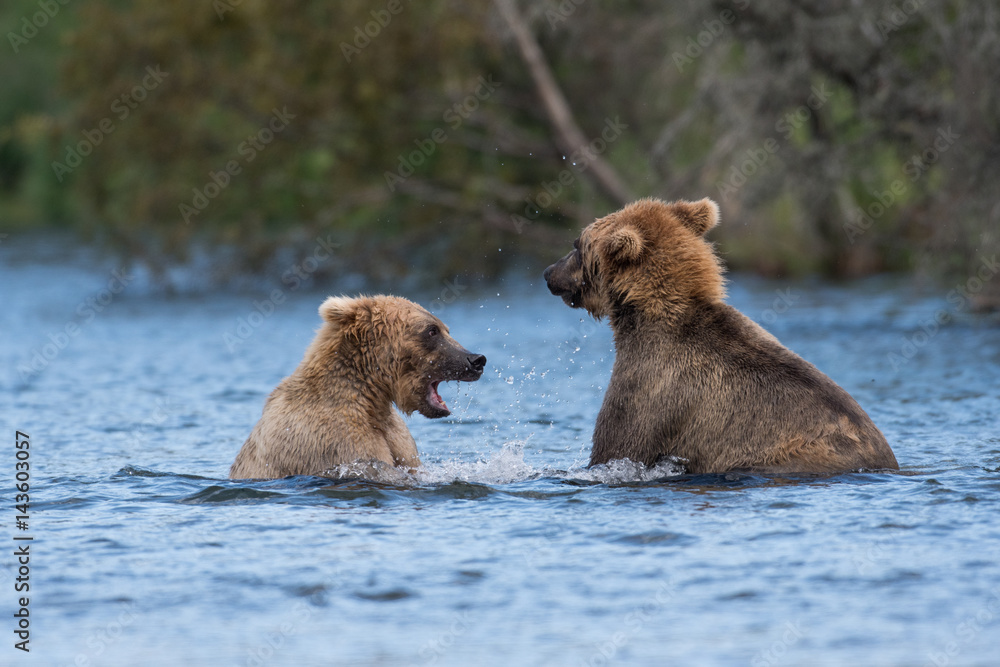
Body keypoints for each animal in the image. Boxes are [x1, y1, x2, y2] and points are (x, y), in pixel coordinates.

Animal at [229, 295, 486, 479]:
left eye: (446, 329)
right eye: (432, 330)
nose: (476, 360)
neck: (371, 397)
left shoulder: (399, 439)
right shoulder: (340, 443)